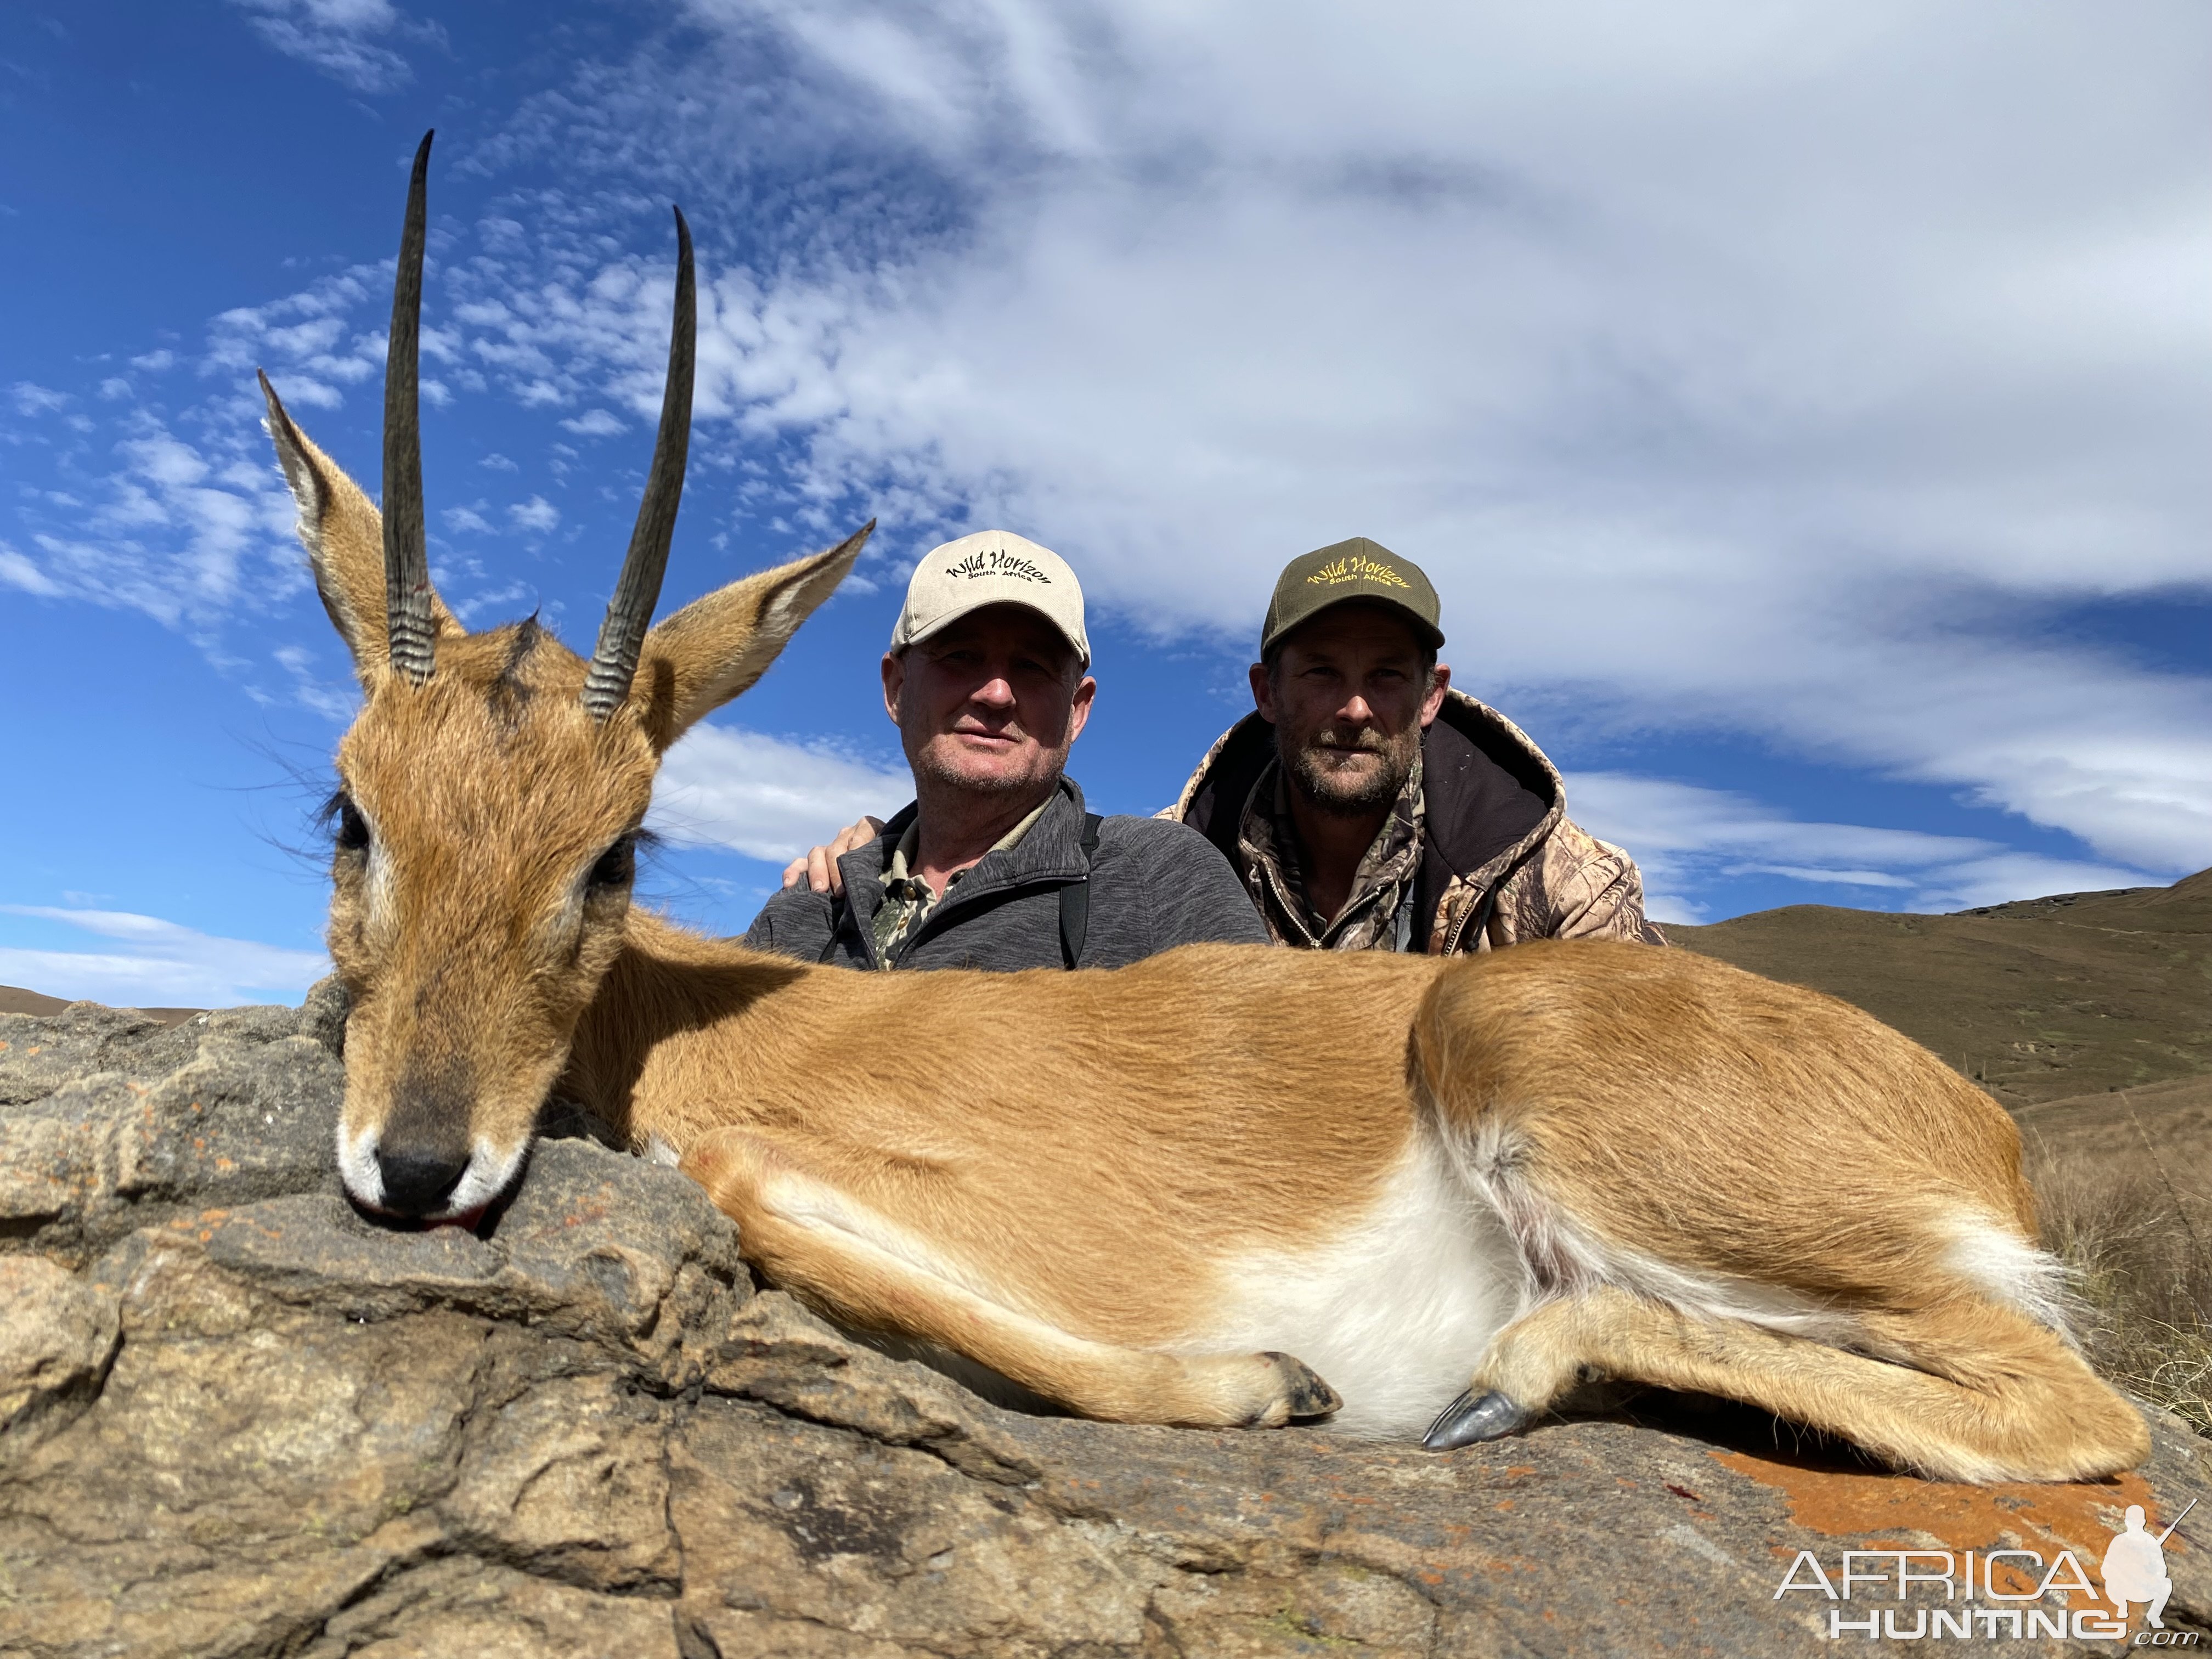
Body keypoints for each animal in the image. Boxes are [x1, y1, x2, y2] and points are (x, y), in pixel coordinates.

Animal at [258, 140, 2141, 1495]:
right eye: (356, 817)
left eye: (614, 852)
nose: (415, 1167)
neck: (694, 1014)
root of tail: (1984, 1133)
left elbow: (743, 1186)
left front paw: (1269, 1381)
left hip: (1533, 1067)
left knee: (2082, 1411)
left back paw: (1503, 1382)